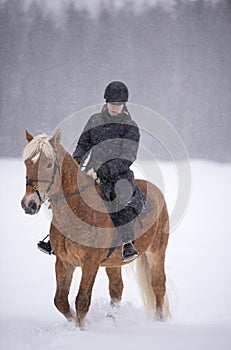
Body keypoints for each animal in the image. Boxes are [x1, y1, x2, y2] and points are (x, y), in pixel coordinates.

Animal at [21, 129, 170, 328]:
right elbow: (60, 301)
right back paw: (111, 320)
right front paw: (75, 324)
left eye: (49, 164)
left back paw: (158, 322)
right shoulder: (64, 262)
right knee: (117, 288)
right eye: (27, 162)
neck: (79, 210)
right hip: (114, 262)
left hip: (156, 252)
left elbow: (82, 300)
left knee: (158, 286)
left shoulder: (90, 263)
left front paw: (80, 329)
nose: (29, 204)